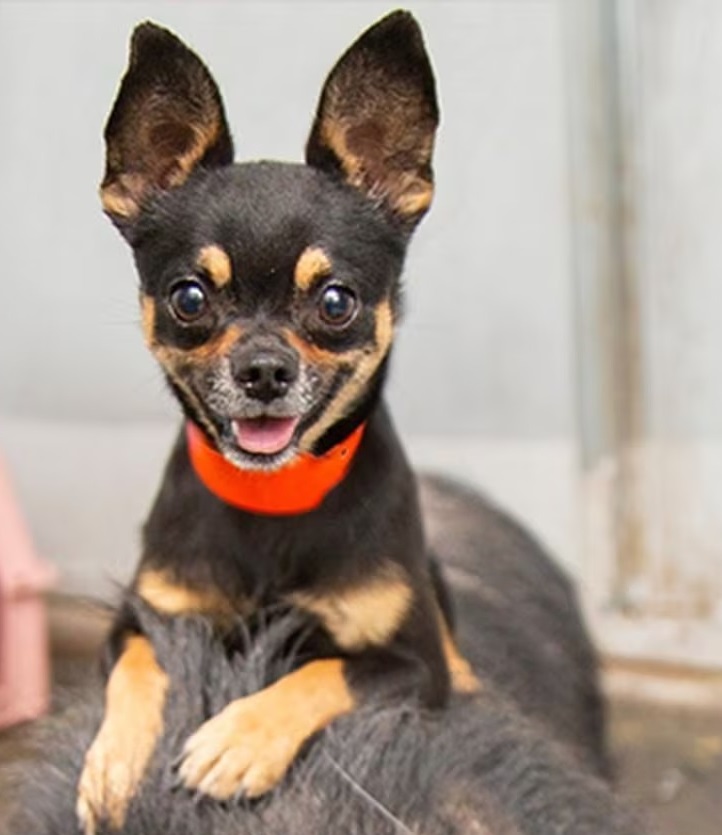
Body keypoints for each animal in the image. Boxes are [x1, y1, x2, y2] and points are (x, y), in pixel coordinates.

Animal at [77, 11, 478, 835]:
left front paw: (238, 740)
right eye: (189, 298)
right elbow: (140, 665)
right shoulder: (140, 618)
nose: (264, 370)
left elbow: (325, 669)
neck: (273, 500)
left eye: (336, 302)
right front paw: (113, 764)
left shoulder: (409, 666)